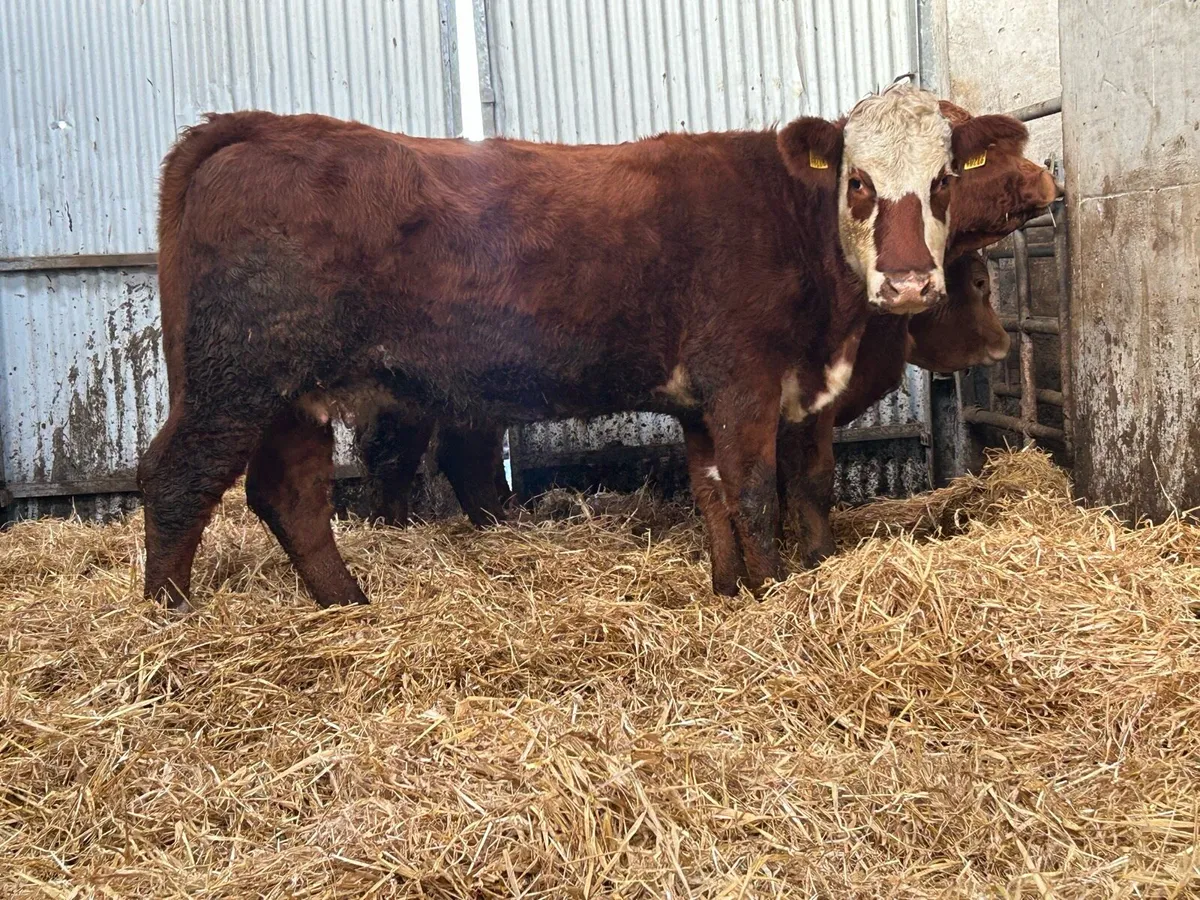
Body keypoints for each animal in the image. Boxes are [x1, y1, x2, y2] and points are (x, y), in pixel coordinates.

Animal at [141, 84, 1025, 609]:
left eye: (943, 181)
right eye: (859, 183)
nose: (910, 284)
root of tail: (260, 128)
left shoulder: (731, 398)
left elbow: (751, 492)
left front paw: (742, 585)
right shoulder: (743, 381)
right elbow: (751, 491)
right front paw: (770, 592)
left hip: (292, 393)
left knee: (288, 495)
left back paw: (346, 602)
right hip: (235, 379)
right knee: (176, 477)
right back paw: (170, 616)